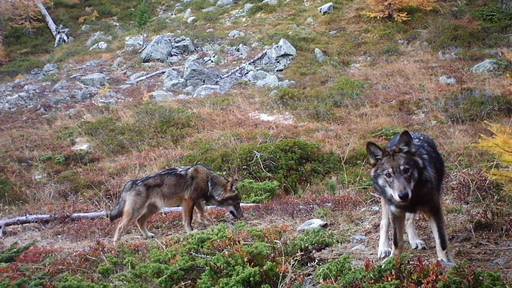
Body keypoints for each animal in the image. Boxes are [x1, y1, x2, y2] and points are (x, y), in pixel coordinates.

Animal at [108, 164, 244, 243]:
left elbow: (202, 214)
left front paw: (207, 223)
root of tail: (130, 183)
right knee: (120, 226)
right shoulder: (188, 201)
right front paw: (191, 232)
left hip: (153, 209)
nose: (243, 217)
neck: (209, 181)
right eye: (237, 203)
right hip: (135, 212)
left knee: (140, 221)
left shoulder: (197, 201)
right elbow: (188, 219)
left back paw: (148, 235)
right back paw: (116, 245)